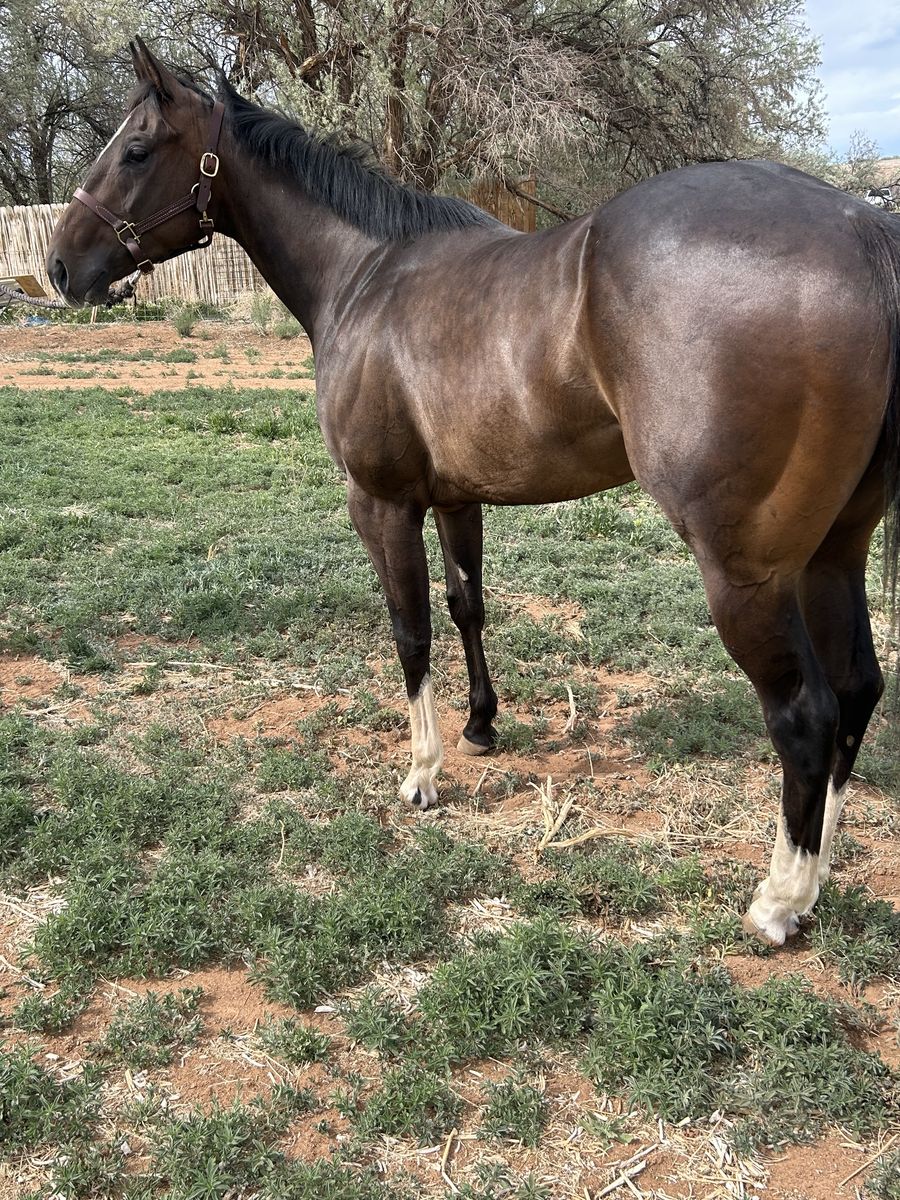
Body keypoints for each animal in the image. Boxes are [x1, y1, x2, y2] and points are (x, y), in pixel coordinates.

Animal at [46, 38, 900, 949]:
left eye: (137, 150)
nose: (59, 265)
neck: (364, 275)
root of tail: (859, 226)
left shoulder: (381, 504)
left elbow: (410, 630)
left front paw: (423, 773)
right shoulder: (457, 498)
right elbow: (467, 607)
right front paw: (482, 725)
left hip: (749, 574)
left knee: (806, 714)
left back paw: (780, 899)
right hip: (832, 554)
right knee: (856, 691)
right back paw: (819, 872)